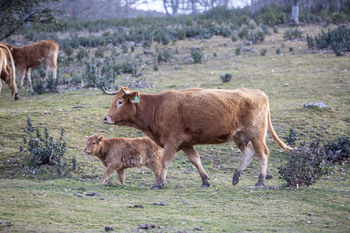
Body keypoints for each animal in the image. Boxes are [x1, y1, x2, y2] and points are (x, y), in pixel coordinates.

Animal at [102, 86, 292, 188]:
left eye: (120, 102)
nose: (105, 118)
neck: (158, 106)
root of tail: (257, 92)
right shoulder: (186, 144)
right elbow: (196, 160)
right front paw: (205, 180)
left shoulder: (171, 142)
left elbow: (164, 162)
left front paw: (159, 182)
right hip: (239, 136)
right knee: (249, 152)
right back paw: (236, 176)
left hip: (256, 133)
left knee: (262, 153)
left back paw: (260, 181)